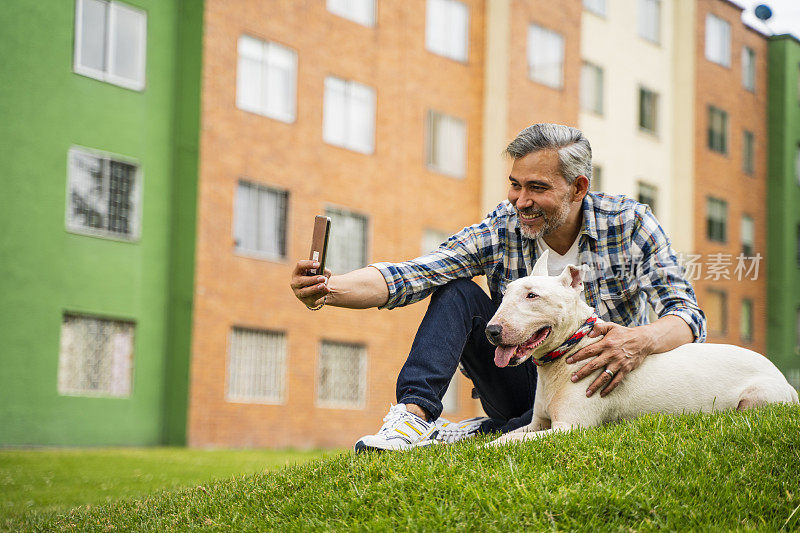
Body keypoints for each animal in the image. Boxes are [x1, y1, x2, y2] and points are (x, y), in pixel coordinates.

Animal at [484, 249, 796, 444]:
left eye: (532, 296)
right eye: (505, 294)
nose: (491, 331)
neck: (570, 348)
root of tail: (783, 377)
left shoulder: (570, 427)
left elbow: (508, 443)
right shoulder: (538, 423)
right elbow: (507, 436)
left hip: (759, 396)